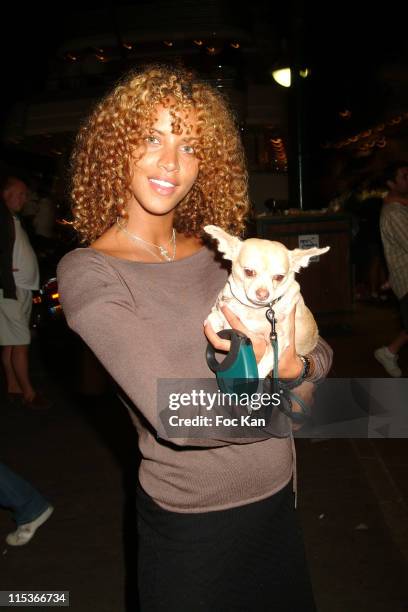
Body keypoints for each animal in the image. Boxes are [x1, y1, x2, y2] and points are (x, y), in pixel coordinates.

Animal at [206, 226, 330, 378]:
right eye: (249, 272)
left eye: (279, 277)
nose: (263, 294)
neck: (254, 309)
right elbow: (212, 319)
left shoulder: (278, 341)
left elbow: (262, 367)